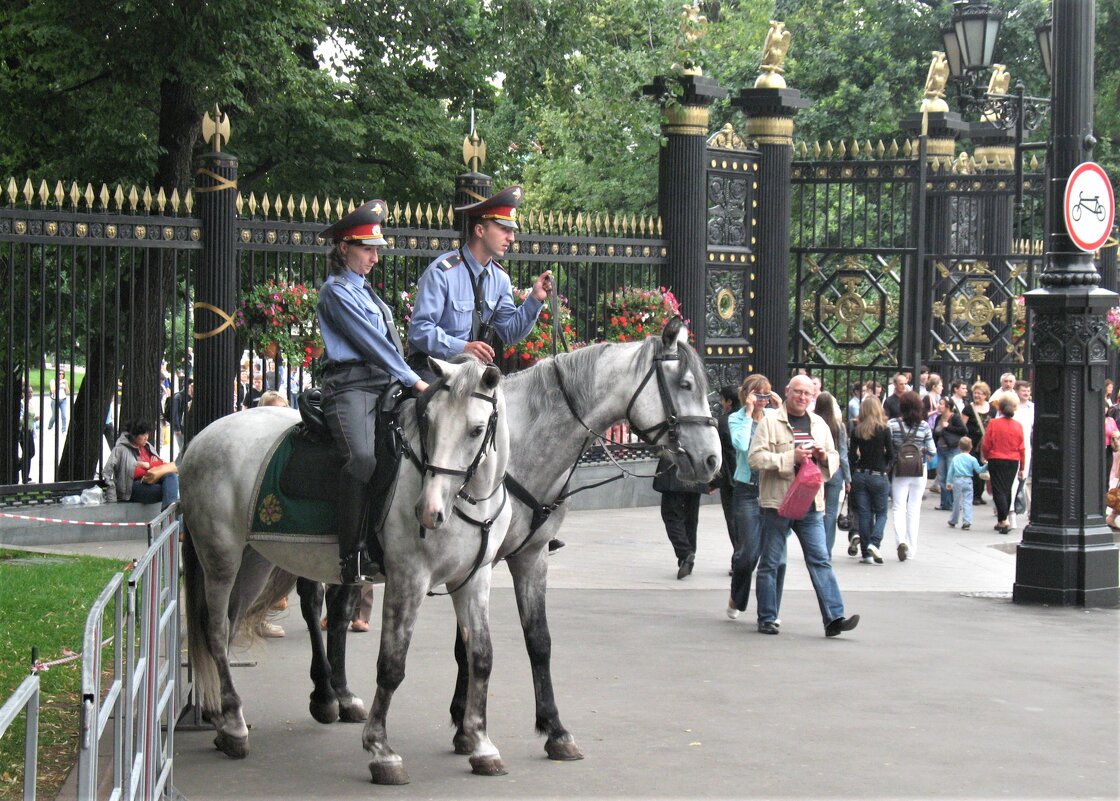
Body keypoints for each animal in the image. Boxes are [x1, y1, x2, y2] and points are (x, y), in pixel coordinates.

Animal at [182, 356, 512, 784]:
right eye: (429, 423)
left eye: (475, 429)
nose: (429, 511)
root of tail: (199, 440)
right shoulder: (409, 579)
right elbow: (391, 666)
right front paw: (381, 750)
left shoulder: (473, 579)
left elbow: (481, 657)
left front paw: (481, 744)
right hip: (220, 558)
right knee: (217, 630)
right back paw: (236, 727)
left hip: (252, 562)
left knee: (228, 627)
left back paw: (226, 720)